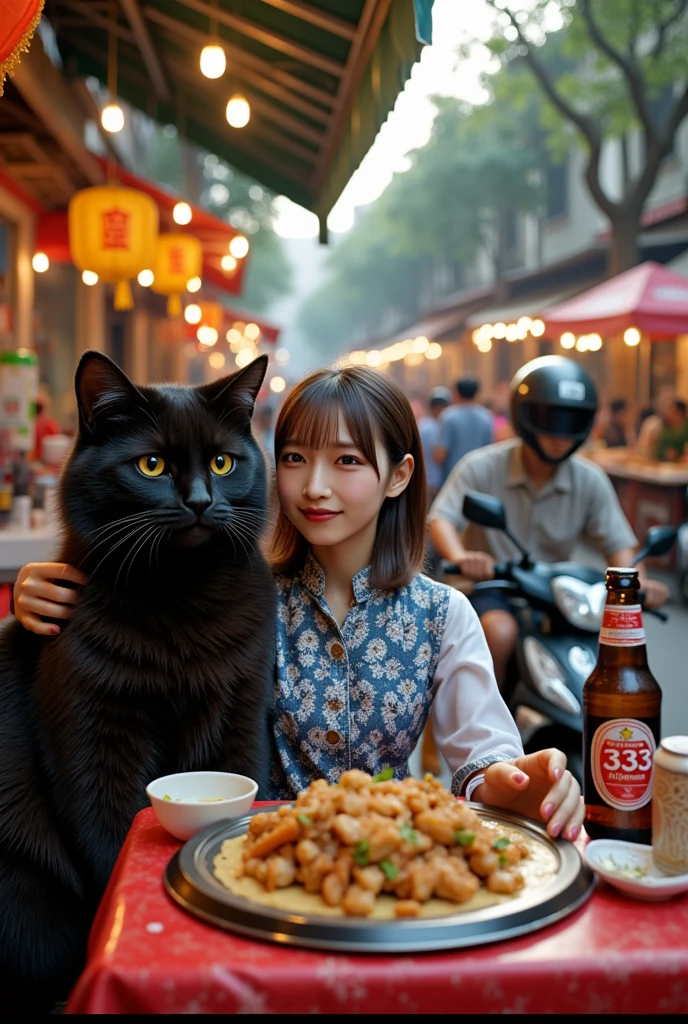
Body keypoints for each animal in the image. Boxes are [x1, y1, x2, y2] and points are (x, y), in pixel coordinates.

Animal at [0, 352, 276, 999]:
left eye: (224, 462)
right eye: (151, 465)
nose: (199, 501)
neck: (181, 599)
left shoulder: (243, 711)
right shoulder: (96, 739)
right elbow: (109, 846)